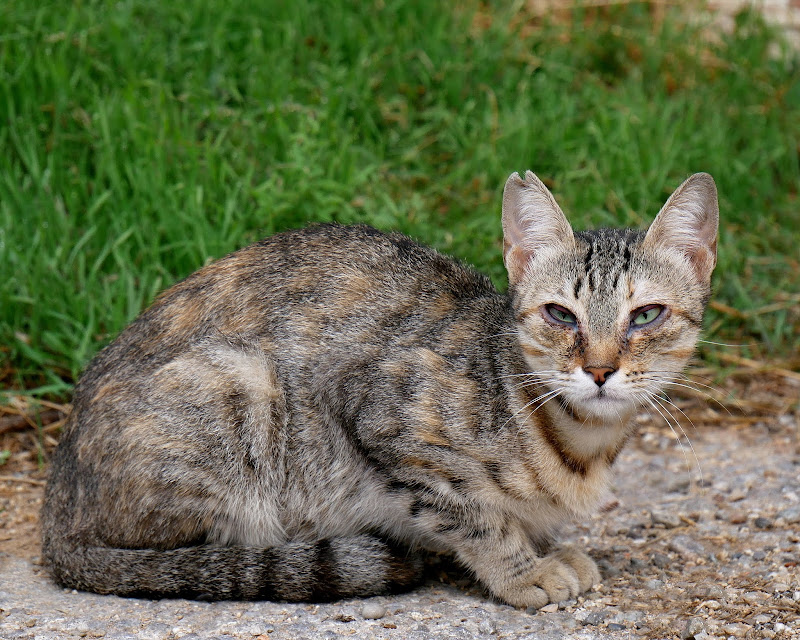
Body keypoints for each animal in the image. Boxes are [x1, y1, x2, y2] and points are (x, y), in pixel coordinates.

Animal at [42, 169, 720, 604]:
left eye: (646, 316)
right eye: (560, 315)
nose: (600, 369)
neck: (577, 442)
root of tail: (56, 508)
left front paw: (545, 543)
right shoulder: (381, 418)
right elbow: (474, 517)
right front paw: (523, 569)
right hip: (242, 387)